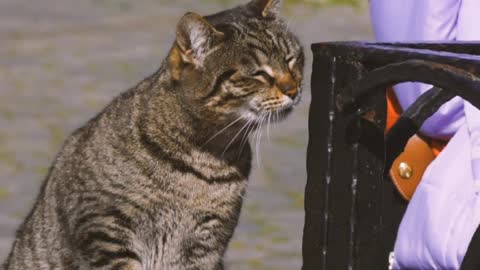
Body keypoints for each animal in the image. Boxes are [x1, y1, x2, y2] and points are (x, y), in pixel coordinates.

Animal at [2, 1, 304, 268]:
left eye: (293, 60)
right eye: (258, 74)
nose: (294, 90)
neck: (207, 157)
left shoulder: (207, 243)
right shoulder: (103, 228)